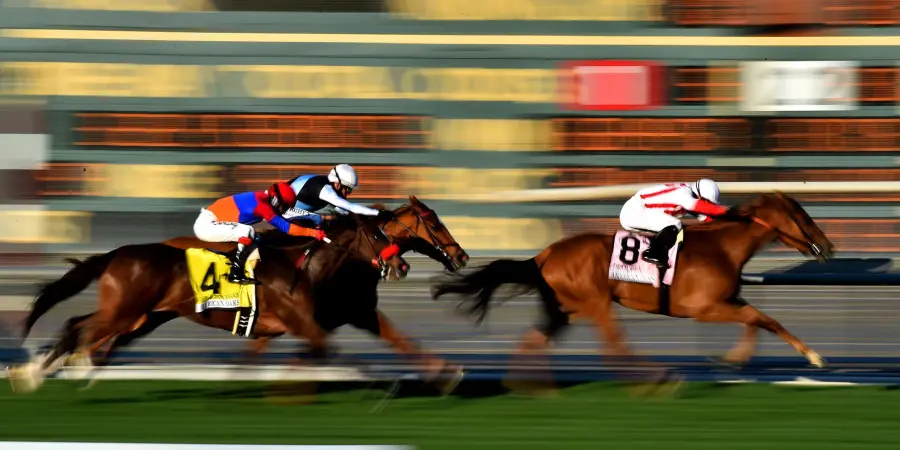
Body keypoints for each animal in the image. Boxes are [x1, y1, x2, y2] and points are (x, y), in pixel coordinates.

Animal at [24, 197, 469, 394]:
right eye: (432, 222)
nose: (462, 256)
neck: (312, 265)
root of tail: (116, 253)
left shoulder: (348, 314)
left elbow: (400, 340)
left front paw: (448, 374)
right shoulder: (308, 323)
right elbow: (325, 353)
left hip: (143, 316)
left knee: (87, 331)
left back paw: (46, 370)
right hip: (127, 310)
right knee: (82, 328)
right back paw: (55, 369)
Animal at [432, 192, 835, 390]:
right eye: (803, 217)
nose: (829, 247)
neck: (722, 246)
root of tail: (543, 255)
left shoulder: (726, 300)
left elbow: (759, 321)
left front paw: (734, 360)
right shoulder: (704, 307)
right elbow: (759, 318)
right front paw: (813, 356)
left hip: (564, 308)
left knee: (536, 339)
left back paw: (526, 383)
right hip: (595, 302)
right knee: (614, 346)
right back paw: (655, 378)